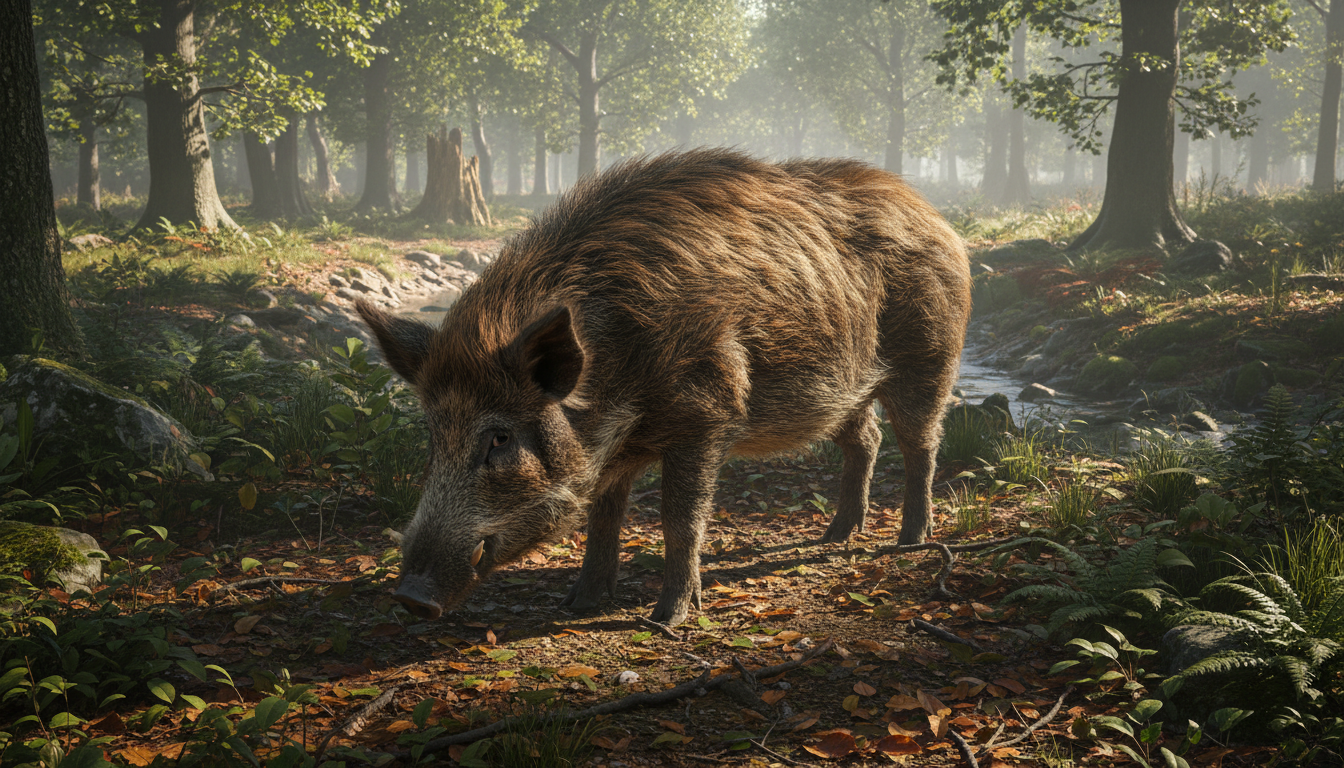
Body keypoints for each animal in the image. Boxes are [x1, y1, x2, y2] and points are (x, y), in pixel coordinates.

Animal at [356, 148, 971, 627]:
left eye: (500, 438)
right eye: (434, 436)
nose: (409, 597)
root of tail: (936, 217)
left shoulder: (707, 414)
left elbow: (681, 519)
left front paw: (666, 619)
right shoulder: (616, 451)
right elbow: (604, 519)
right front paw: (578, 604)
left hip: (931, 359)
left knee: (922, 444)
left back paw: (910, 541)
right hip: (847, 392)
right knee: (865, 440)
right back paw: (835, 537)